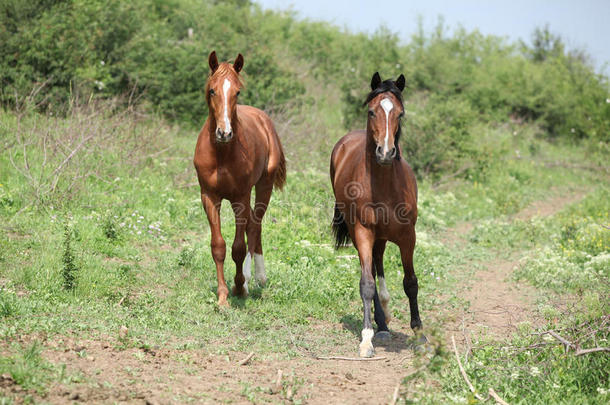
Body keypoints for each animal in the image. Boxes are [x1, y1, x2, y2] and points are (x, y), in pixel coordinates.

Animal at [194, 50, 286, 304]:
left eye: (237, 92)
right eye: (212, 90)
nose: (224, 132)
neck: (222, 154)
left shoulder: (239, 198)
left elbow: (238, 247)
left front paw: (238, 287)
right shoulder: (209, 197)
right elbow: (218, 246)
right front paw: (222, 296)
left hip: (264, 186)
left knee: (255, 226)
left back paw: (253, 278)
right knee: (253, 225)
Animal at [328, 72, 422, 356]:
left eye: (400, 113)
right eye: (371, 111)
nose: (386, 152)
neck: (384, 186)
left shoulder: (407, 236)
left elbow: (410, 282)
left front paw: (420, 334)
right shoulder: (363, 233)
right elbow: (366, 285)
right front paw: (366, 338)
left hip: (382, 236)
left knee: (379, 262)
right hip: (365, 235)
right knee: (371, 270)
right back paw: (380, 325)